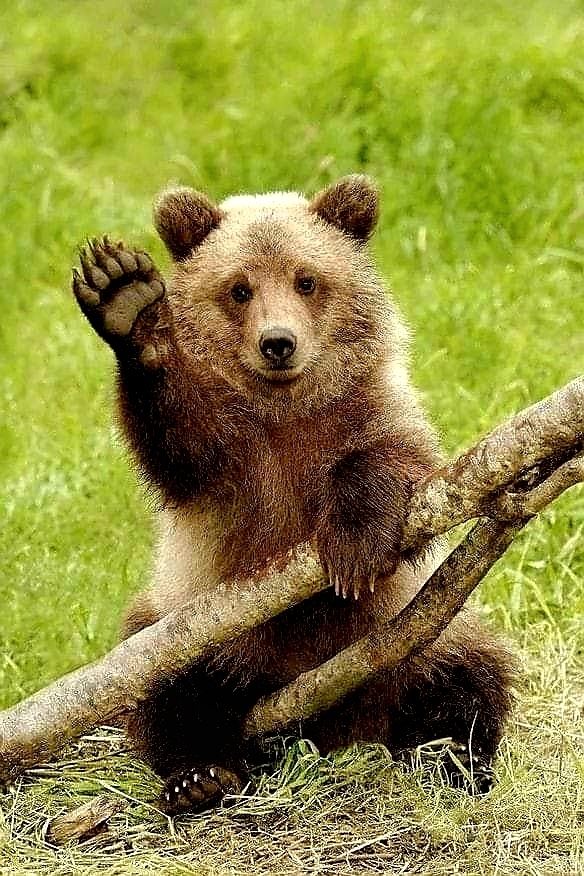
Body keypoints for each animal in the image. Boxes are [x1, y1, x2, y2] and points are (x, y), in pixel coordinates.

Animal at [72, 175, 515, 814]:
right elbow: (177, 442)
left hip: (419, 635)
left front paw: (354, 545)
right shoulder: (230, 458)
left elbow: (398, 469)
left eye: (307, 280)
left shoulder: (367, 411)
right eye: (239, 288)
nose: (278, 342)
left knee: (466, 676)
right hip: (196, 628)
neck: (286, 410)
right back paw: (200, 775)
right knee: (166, 682)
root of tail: (326, 727)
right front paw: (128, 301)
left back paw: (455, 759)